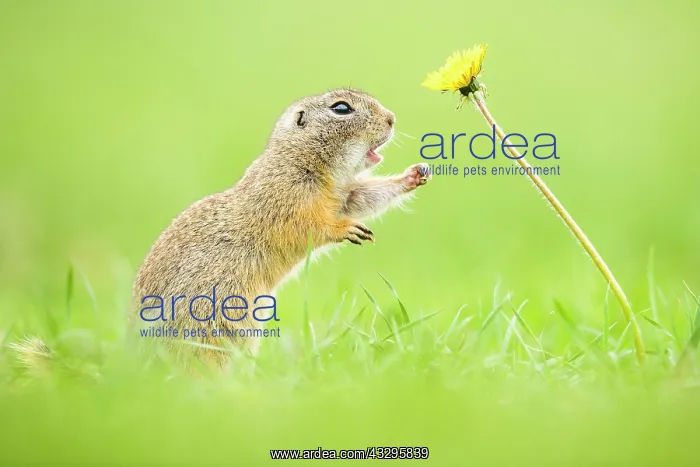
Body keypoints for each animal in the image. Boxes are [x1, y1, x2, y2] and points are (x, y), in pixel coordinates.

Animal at [131, 88, 431, 366]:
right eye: (341, 108)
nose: (391, 118)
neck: (300, 158)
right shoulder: (284, 198)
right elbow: (305, 227)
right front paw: (346, 229)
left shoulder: (342, 194)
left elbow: (361, 197)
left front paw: (414, 175)